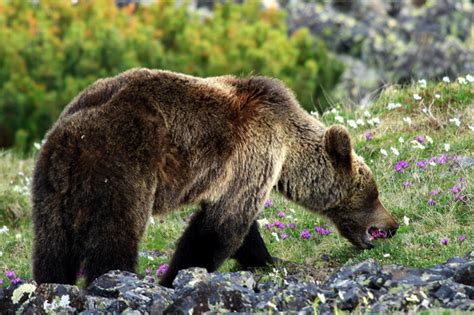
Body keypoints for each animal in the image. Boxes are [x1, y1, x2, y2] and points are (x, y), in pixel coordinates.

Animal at [31, 68, 398, 288]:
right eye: (372, 193)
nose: (392, 226)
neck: (288, 146)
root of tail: (69, 140)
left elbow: (240, 226)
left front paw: (266, 258)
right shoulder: (254, 152)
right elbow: (218, 228)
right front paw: (176, 278)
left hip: (50, 188)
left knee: (52, 248)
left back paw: (52, 284)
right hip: (121, 167)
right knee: (114, 236)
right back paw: (117, 279)